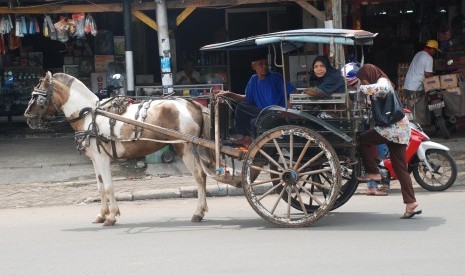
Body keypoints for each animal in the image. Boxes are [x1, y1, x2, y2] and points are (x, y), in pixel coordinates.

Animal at [24, 71, 212, 226]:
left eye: (38, 97)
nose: (28, 118)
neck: (89, 115)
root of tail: (191, 104)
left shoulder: (102, 158)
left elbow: (108, 186)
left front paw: (112, 216)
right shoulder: (94, 159)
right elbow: (100, 187)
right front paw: (101, 215)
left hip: (185, 148)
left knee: (199, 176)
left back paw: (198, 212)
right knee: (202, 175)